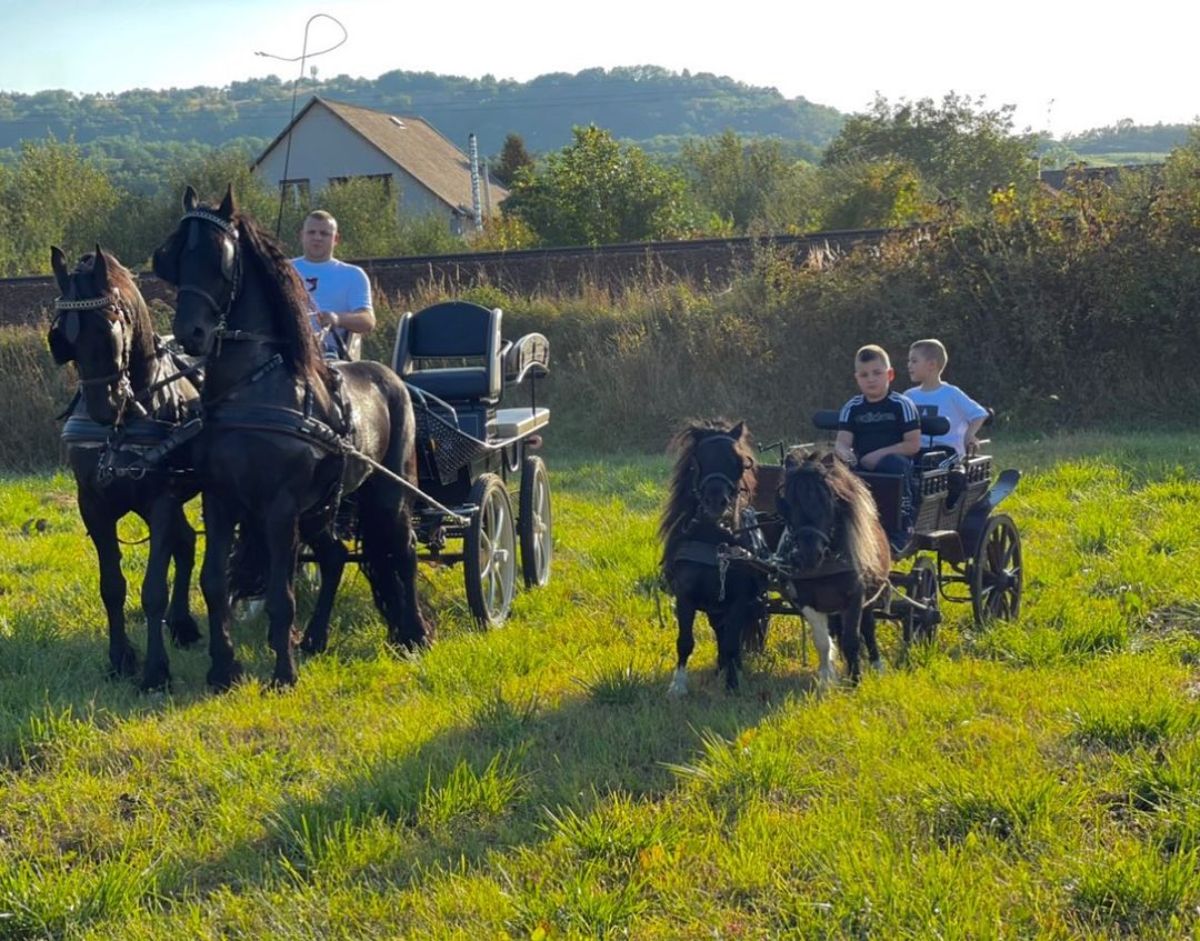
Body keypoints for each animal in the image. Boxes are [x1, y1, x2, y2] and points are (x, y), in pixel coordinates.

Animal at [46, 246, 201, 686]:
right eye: (61, 338)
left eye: (109, 327)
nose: (104, 407)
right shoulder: (93, 504)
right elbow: (112, 586)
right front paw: (120, 659)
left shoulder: (161, 500)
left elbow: (153, 590)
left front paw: (155, 671)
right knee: (186, 543)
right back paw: (183, 625)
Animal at [152, 187, 429, 686]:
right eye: (172, 257)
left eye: (220, 259)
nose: (191, 333)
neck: (251, 387)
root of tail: (392, 378)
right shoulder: (220, 500)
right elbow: (214, 583)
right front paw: (224, 669)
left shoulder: (279, 507)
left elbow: (282, 594)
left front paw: (283, 672)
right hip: (321, 509)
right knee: (336, 556)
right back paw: (316, 638)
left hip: (389, 493)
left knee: (404, 550)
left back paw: (413, 633)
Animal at [657, 422, 768, 696]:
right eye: (699, 459)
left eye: (740, 462)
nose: (716, 502)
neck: (713, 538)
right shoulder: (685, 596)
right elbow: (685, 641)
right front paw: (677, 686)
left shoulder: (739, 599)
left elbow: (732, 643)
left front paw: (732, 685)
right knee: (719, 629)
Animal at [777, 448, 892, 681]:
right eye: (787, 503)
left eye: (828, 501)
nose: (809, 555)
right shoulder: (806, 599)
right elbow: (823, 641)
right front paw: (827, 678)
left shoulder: (856, 596)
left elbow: (852, 640)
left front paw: (856, 680)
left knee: (868, 626)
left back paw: (876, 664)